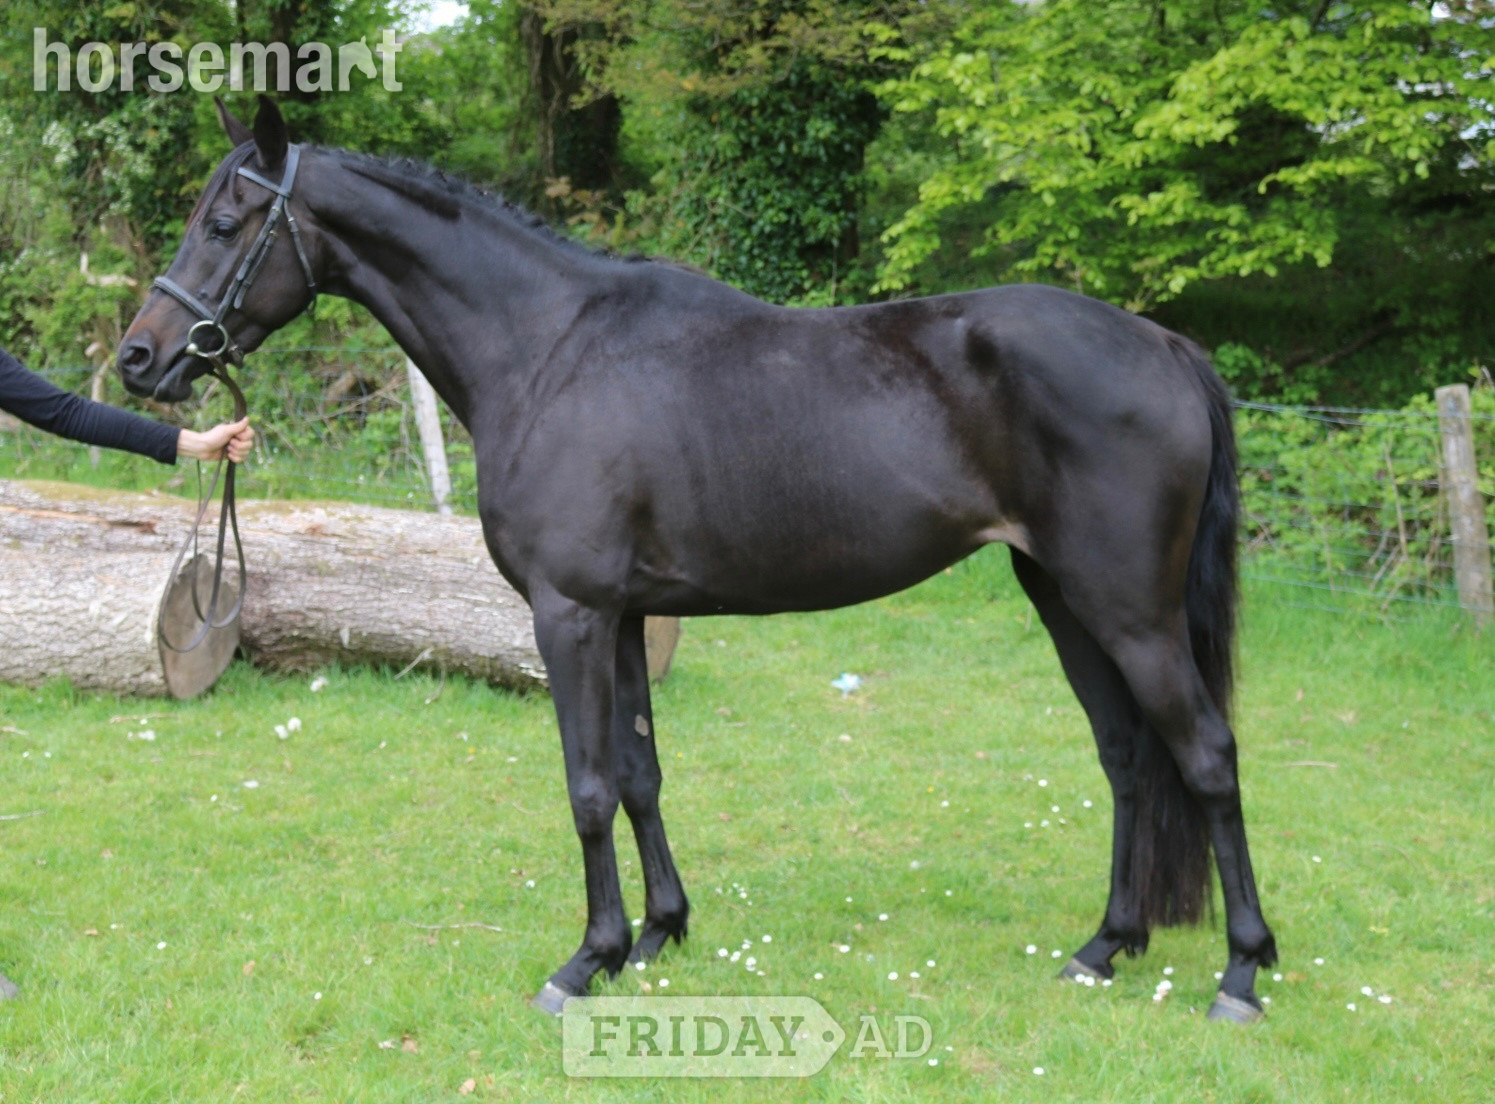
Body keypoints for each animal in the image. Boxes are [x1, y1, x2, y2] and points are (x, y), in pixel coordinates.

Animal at [116, 97, 1277, 1023]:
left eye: (226, 222)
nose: (140, 356)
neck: (548, 349)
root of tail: (1167, 348)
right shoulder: (626, 615)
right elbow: (640, 773)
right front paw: (656, 934)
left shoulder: (569, 615)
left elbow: (587, 784)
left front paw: (584, 961)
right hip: (1065, 598)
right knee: (1127, 758)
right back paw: (1105, 947)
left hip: (1128, 611)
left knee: (1207, 757)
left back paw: (1239, 974)